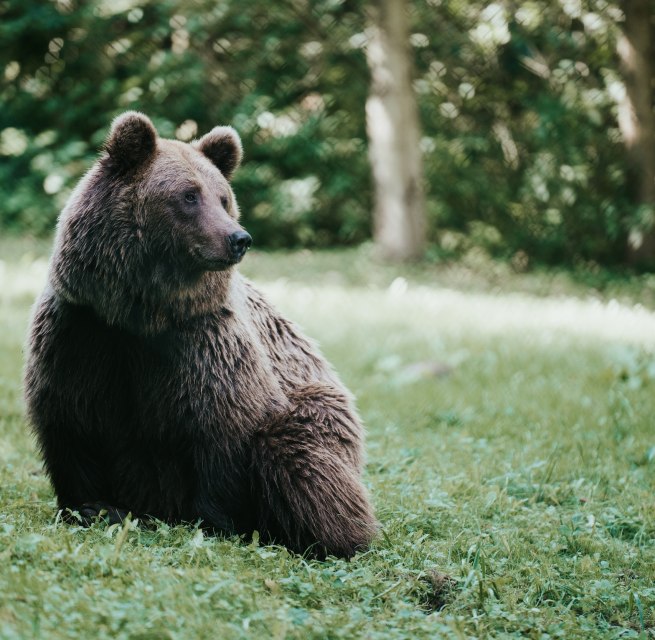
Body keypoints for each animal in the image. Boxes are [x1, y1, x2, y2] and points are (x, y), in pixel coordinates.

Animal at [24, 111, 377, 559]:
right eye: (189, 195)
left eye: (223, 197)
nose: (238, 238)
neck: (142, 314)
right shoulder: (83, 335)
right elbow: (72, 421)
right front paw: (91, 507)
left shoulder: (204, 345)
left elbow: (220, 434)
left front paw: (214, 522)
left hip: (321, 412)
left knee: (297, 455)